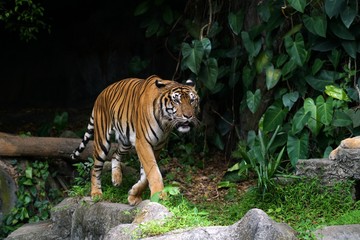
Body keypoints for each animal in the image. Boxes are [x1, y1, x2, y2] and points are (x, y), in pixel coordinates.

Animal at [70, 75, 200, 206]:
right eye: (176, 101)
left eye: (192, 100)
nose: (188, 116)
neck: (166, 123)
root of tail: (101, 94)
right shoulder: (143, 142)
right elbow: (153, 172)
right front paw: (159, 196)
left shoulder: (157, 146)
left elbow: (146, 176)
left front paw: (134, 195)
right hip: (102, 141)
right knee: (95, 167)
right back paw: (96, 193)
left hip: (125, 141)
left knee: (115, 154)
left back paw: (116, 178)